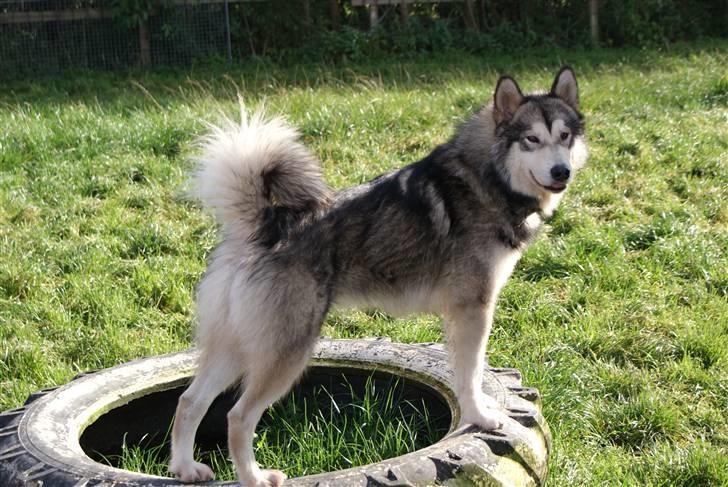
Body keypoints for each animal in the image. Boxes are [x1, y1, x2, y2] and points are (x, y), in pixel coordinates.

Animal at [169, 66, 584, 486]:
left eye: (565, 136)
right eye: (532, 139)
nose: (561, 171)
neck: (485, 177)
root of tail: (265, 226)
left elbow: (468, 372)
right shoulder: (473, 309)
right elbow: (470, 373)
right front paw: (481, 417)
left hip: (238, 346)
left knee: (189, 401)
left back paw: (186, 468)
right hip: (285, 353)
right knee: (237, 417)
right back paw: (253, 477)